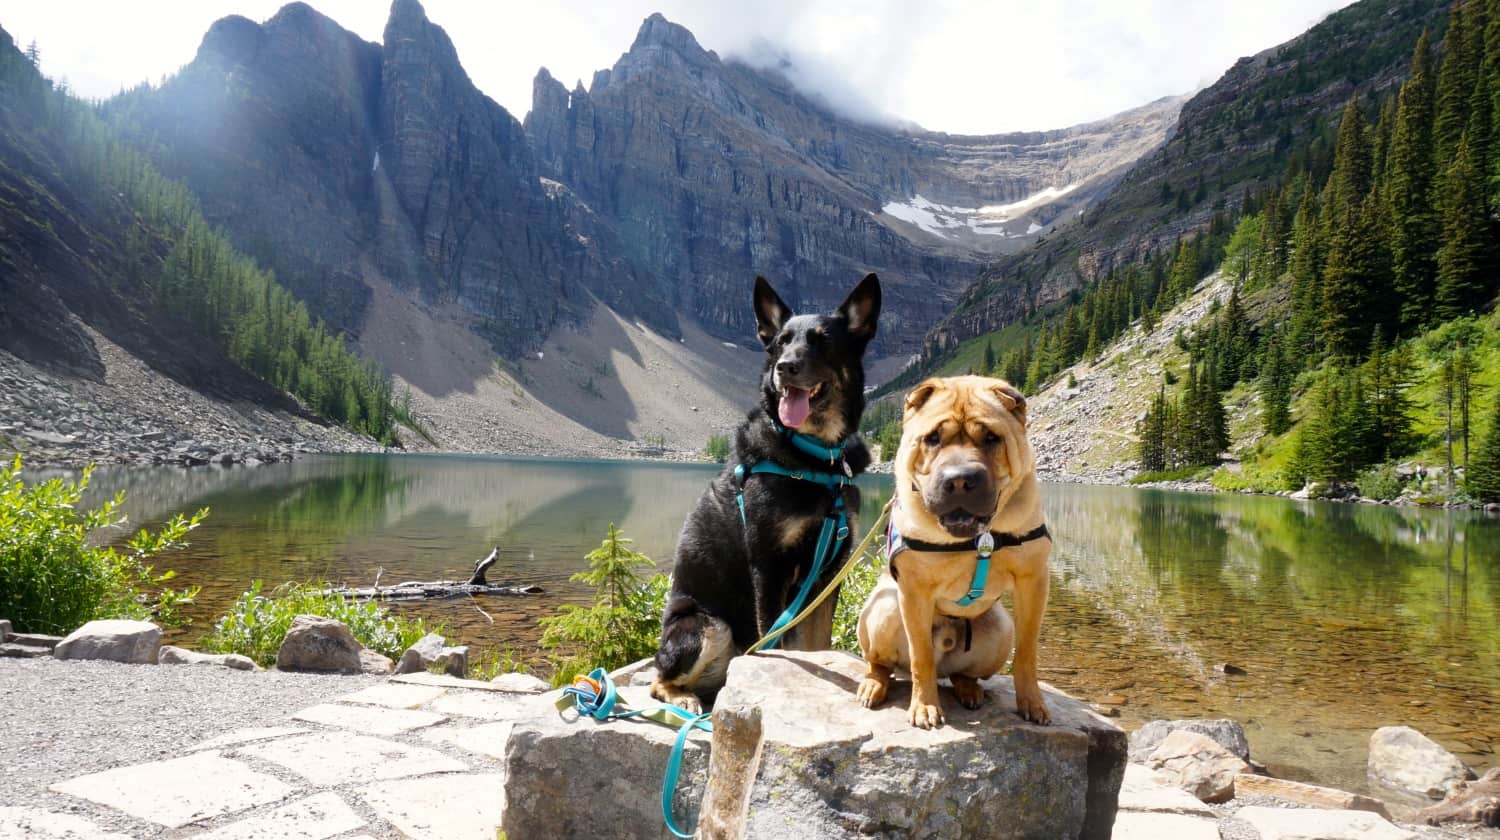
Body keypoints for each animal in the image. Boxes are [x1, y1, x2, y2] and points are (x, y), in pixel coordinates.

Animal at [648, 273, 876, 711]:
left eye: (822, 340)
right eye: (780, 343)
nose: (785, 368)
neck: (816, 459)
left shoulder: (827, 573)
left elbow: (814, 646)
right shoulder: (770, 565)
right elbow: (773, 640)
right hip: (706, 625)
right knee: (657, 677)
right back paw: (683, 699)